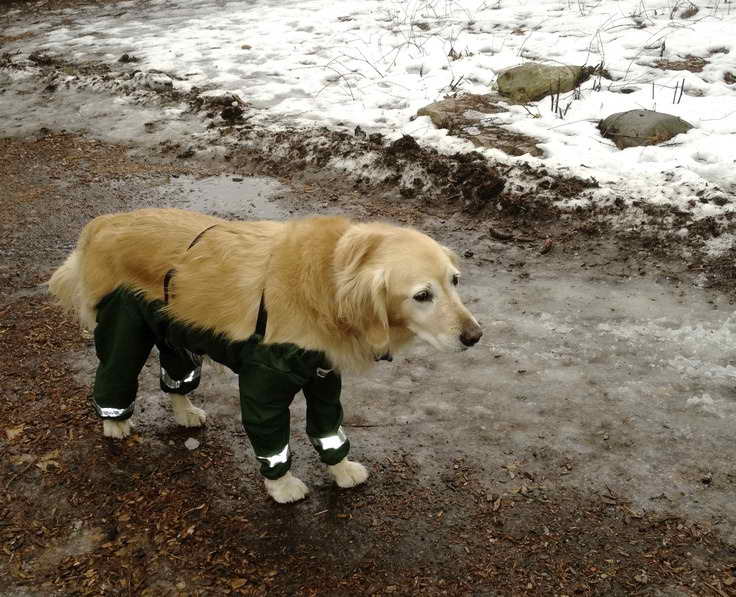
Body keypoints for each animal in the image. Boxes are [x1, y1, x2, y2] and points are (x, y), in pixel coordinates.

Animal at [49, 207, 480, 500]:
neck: (329, 283)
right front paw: (284, 487)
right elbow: (273, 442)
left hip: (174, 331)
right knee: (113, 378)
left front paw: (342, 470)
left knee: (175, 379)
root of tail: (102, 223)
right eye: (422, 295)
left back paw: (185, 411)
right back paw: (115, 423)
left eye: (455, 281)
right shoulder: (264, 383)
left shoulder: (324, 380)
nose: (475, 336)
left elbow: (328, 429)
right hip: (124, 332)